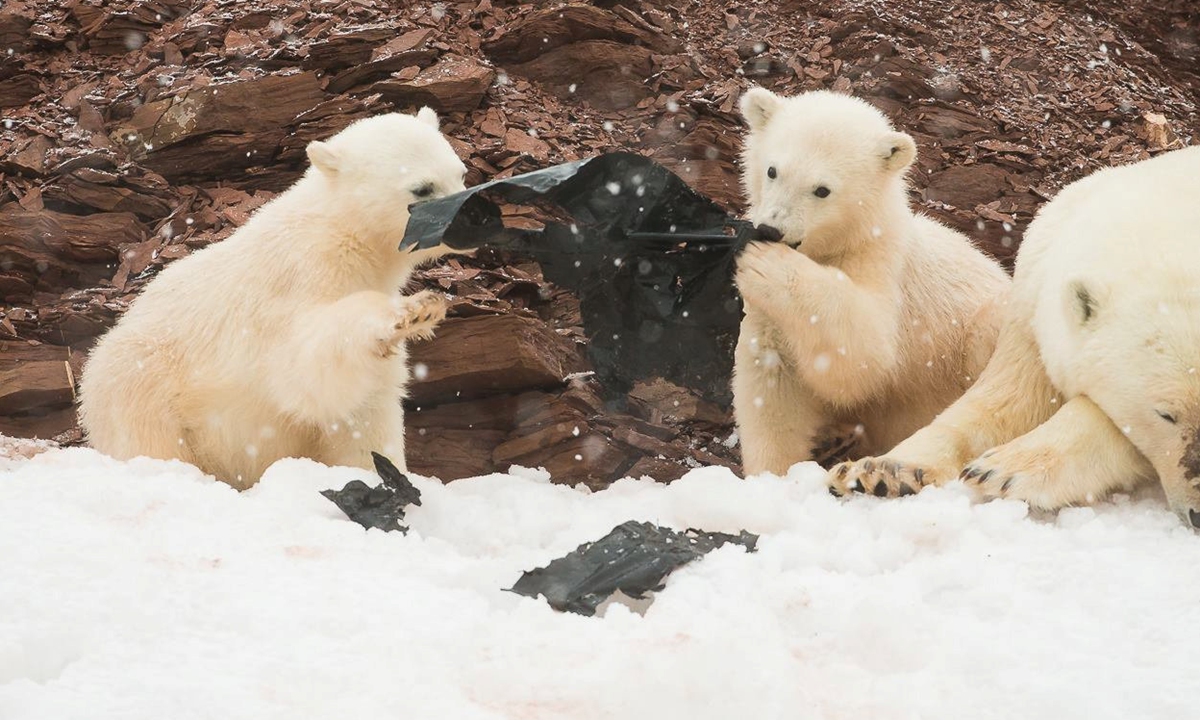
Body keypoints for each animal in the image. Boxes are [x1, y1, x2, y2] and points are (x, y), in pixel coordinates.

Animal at [77, 109, 467, 490]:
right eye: (422, 188)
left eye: (461, 173)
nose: (472, 215)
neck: (344, 236)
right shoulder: (297, 281)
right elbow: (308, 365)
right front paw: (412, 311)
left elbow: (366, 408)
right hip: (144, 381)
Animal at [732, 87, 1011, 478]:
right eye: (772, 170)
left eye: (822, 190)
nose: (771, 229)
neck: (847, 239)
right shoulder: (767, 317)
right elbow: (773, 379)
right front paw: (771, 475)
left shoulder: (883, 265)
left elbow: (865, 352)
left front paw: (768, 264)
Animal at [828, 145, 1200, 528]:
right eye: (1166, 414)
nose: (1198, 514)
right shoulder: (1033, 300)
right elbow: (1009, 399)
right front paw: (879, 472)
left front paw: (1004, 471)